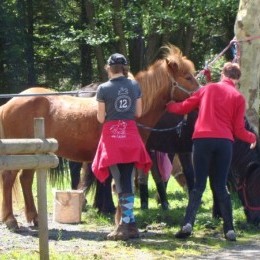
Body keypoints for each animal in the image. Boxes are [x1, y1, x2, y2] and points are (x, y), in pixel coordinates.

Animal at [0, 44, 199, 230]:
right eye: (188, 77)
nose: (200, 93)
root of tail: (10, 103)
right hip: (19, 153)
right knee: (9, 178)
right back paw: (11, 220)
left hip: (33, 153)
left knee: (25, 179)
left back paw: (34, 218)